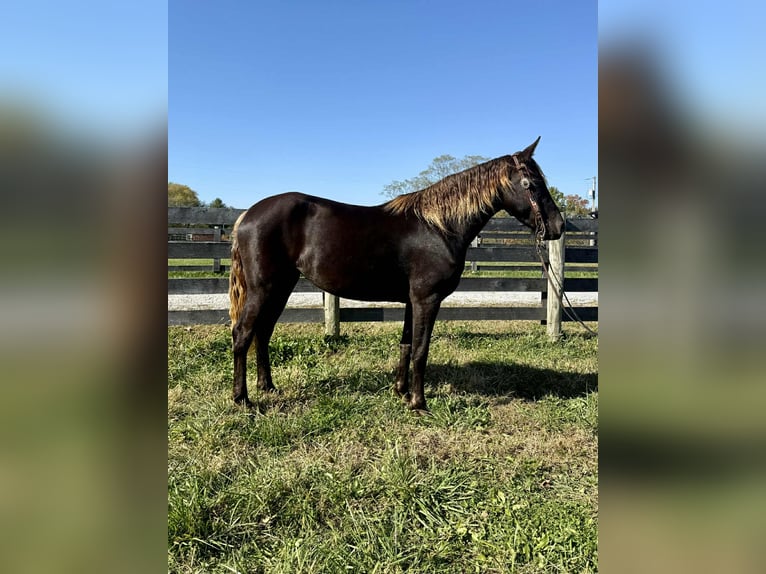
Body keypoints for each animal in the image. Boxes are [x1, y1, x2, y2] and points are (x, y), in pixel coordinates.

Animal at [228, 137, 564, 412]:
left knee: (263, 332)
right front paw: (419, 403)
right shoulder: (427, 299)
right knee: (243, 333)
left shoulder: (411, 301)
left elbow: (406, 345)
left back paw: (267, 387)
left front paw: (401, 392)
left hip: (281, 287)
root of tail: (247, 215)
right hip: (263, 289)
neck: (438, 227)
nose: (559, 226)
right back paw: (242, 399)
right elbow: (421, 350)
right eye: (532, 183)